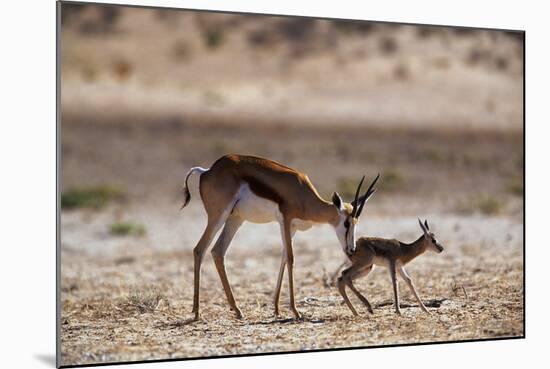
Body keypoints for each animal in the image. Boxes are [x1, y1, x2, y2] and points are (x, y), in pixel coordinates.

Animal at [182, 153, 380, 320]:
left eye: (356, 223)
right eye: (346, 223)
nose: (351, 249)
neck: (302, 193)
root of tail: (207, 171)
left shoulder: (292, 228)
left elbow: (283, 258)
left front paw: (277, 309)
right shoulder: (285, 220)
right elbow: (291, 258)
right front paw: (295, 311)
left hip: (235, 219)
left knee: (217, 251)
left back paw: (237, 310)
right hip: (219, 216)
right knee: (200, 249)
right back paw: (197, 312)